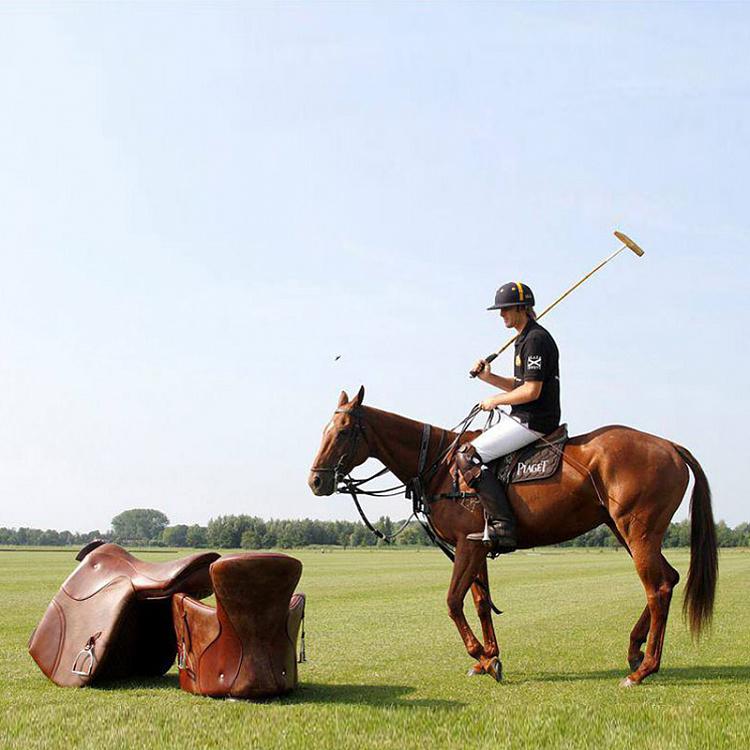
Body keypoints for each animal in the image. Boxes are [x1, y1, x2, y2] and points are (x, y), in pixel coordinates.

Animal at [308, 388, 720, 688]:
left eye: (342, 432)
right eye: (323, 430)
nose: (315, 481)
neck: (440, 467)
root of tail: (671, 446)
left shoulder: (467, 543)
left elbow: (453, 602)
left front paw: (482, 657)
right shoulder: (477, 543)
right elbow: (479, 603)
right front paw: (490, 657)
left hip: (638, 530)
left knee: (657, 588)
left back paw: (643, 669)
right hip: (628, 531)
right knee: (669, 578)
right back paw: (634, 650)